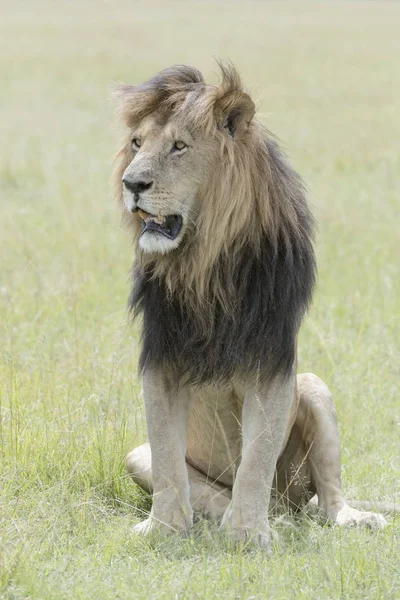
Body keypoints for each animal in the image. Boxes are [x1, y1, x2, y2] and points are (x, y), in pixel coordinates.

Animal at [113, 63, 388, 548]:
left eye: (179, 146)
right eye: (136, 144)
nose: (132, 184)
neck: (207, 265)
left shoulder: (272, 362)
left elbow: (257, 458)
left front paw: (248, 535)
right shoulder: (161, 360)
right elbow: (166, 458)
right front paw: (163, 529)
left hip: (313, 390)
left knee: (328, 500)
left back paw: (339, 518)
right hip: (134, 456)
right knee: (202, 490)